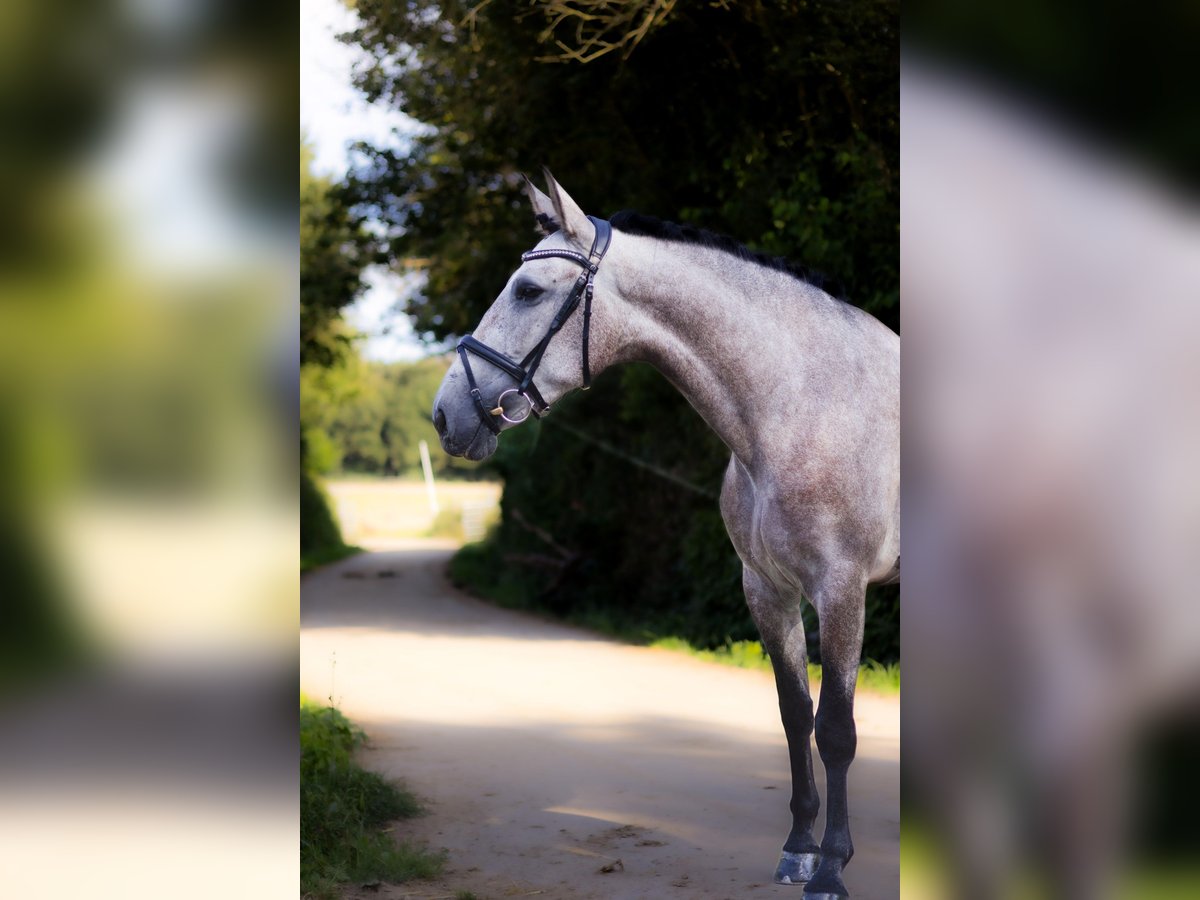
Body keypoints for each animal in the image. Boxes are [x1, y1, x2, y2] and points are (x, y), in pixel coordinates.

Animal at [434, 172, 902, 897]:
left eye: (529, 291)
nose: (446, 415)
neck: (802, 407)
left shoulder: (842, 588)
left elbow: (836, 730)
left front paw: (830, 868)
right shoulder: (767, 589)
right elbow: (794, 714)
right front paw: (798, 849)